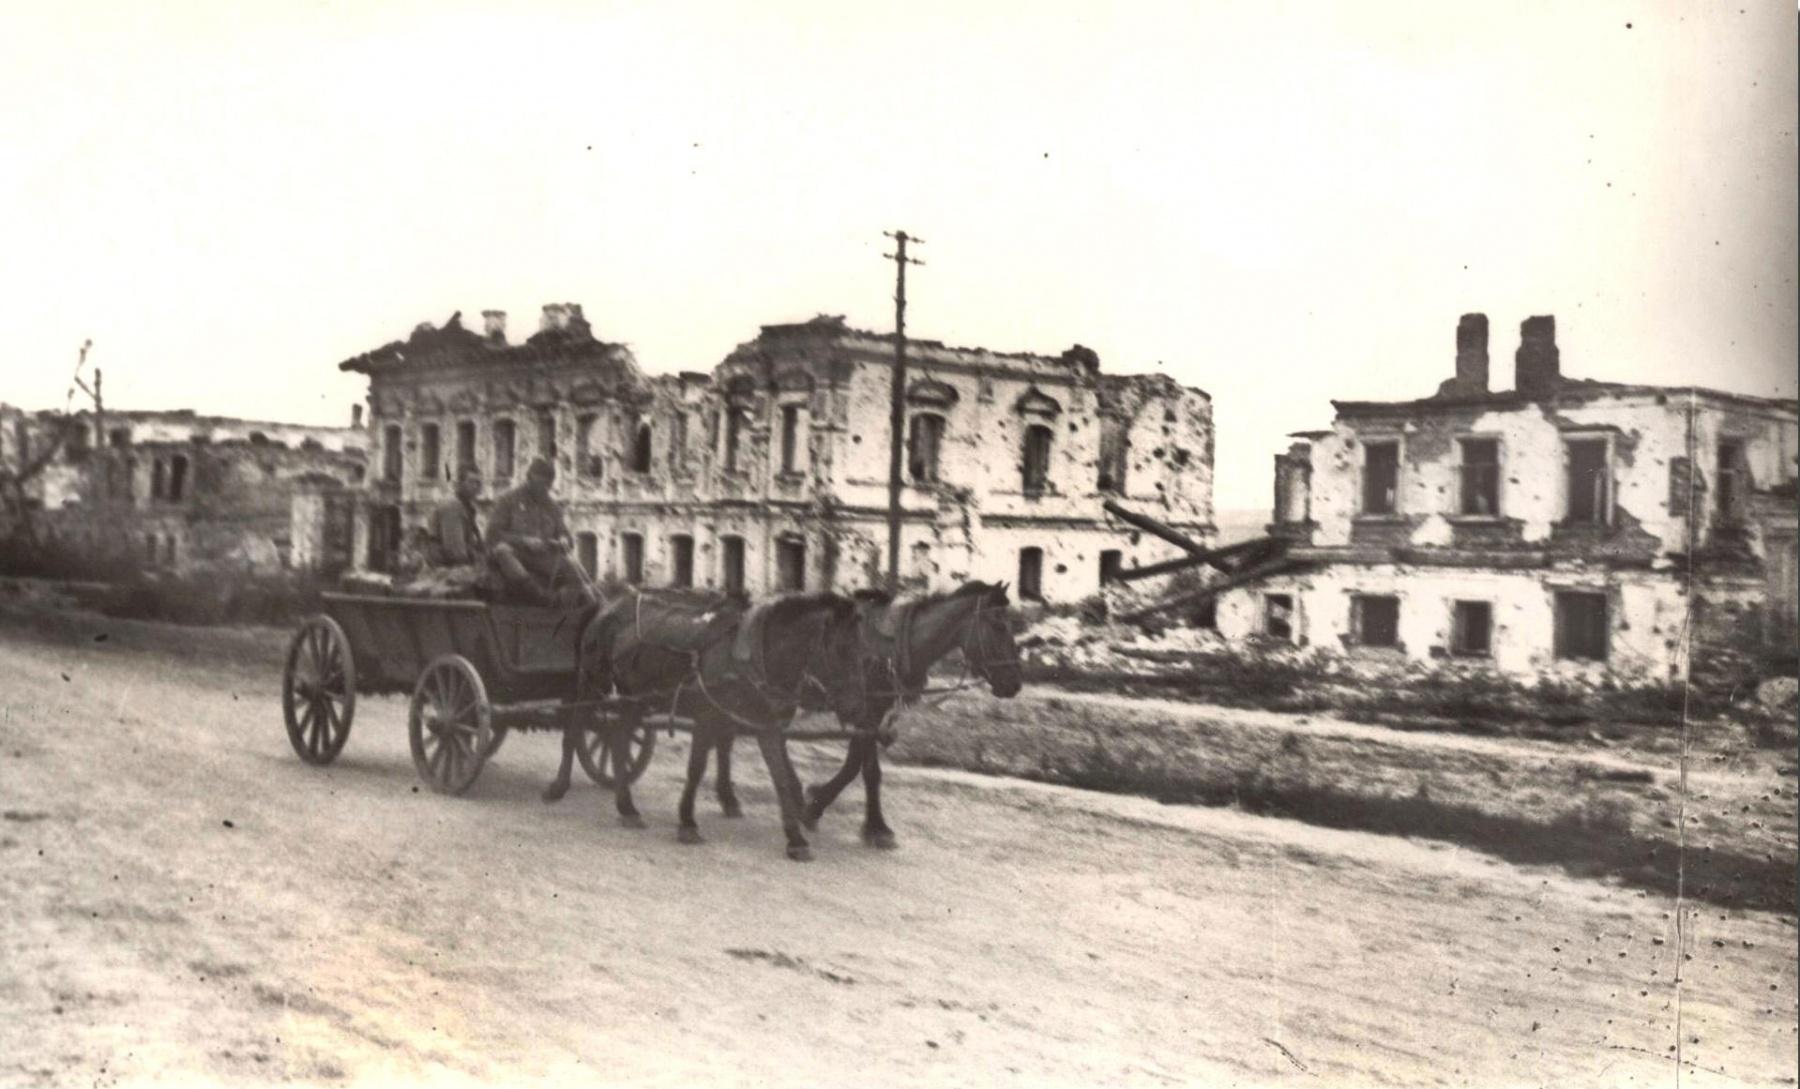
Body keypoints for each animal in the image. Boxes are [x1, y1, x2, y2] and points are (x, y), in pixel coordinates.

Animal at [540, 586, 864, 856]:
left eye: (859, 651)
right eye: (841, 649)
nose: (854, 707)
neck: (752, 657)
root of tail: (606, 604)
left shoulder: (765, 726)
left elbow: (781, 777)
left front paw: (796, 839)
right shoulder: (707, 718)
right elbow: (696, 769)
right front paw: (687, 823)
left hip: (636, 698)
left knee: (618, 738)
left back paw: (627, 808)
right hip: (592, 682)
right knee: (574, 729)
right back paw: (559, 787)